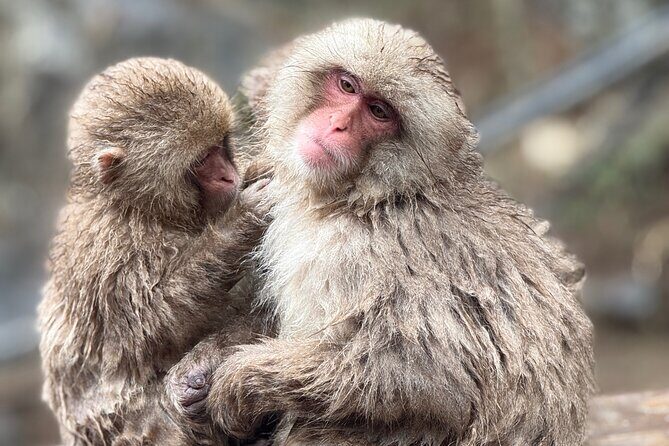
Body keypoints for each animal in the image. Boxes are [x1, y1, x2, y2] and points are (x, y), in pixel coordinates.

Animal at [38, 57, 272, 445]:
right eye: (203, 160)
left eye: (222, 145)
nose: (229, 176)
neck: (143, 208)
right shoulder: (110, 254)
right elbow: (152, 325)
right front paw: (240, 221)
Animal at [168, 19, 595, 446]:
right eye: (347, 86)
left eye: (378, 112)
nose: (337, 124)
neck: (373, 197)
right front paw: (201, 369)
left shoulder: (357, 253)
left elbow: (429, 375)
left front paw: (236, 384)